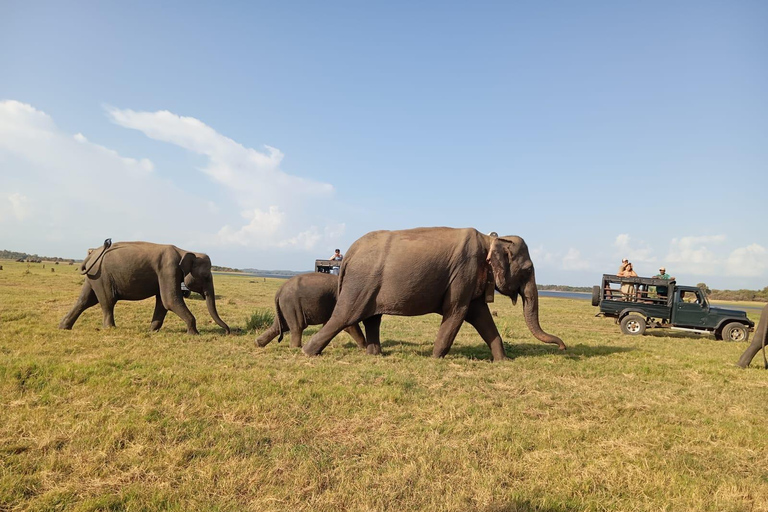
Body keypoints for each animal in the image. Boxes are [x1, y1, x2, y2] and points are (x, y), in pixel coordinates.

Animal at [58, 241, 230, 336]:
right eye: (206, 276)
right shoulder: (168, 269)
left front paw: (152, 331)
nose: (228, 332)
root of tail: (91, 254)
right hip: (101, 275)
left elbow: (163, 303)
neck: (185, 251)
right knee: (107, 302)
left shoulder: (166, 274)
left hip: (94, 277)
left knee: (85, 300)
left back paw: (63, 327)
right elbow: (170, 301)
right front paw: (194, 334)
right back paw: (110, 328)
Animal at [302, 226, 564, 362]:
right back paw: (308, 352)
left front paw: (502, 361)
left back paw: (375, 355)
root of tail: (348, 254)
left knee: (372, 319)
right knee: (345, 316)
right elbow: (457, 312)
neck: (490, 239)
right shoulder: (464, 272)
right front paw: (435, 358)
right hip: (360, 283)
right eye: (528, 269)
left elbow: (481, 316)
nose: (562, 348)